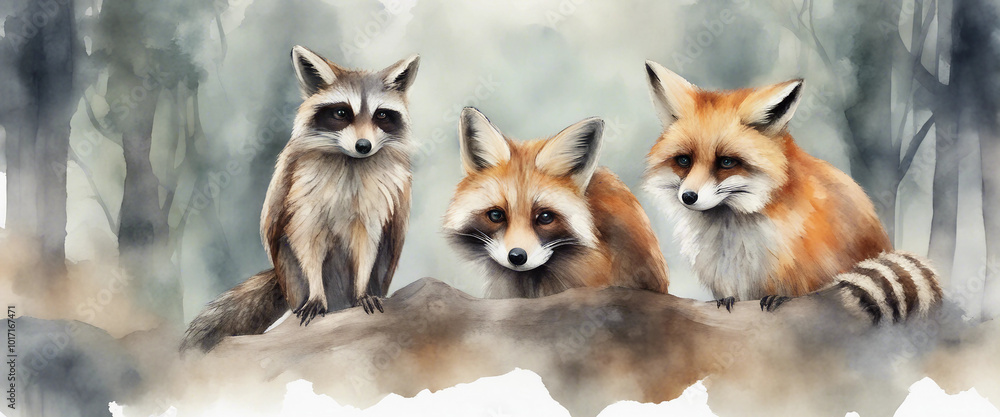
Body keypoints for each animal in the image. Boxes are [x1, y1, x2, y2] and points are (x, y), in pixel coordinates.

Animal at [181, 46, 419, 352]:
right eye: (342, 112)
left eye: (381, 115)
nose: (364, 146)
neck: (350, 160)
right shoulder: (299, 188)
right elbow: (306, 240)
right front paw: (316, 292)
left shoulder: (379, 196)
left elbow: (367, 243)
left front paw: (363, 288)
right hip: (288, 269)